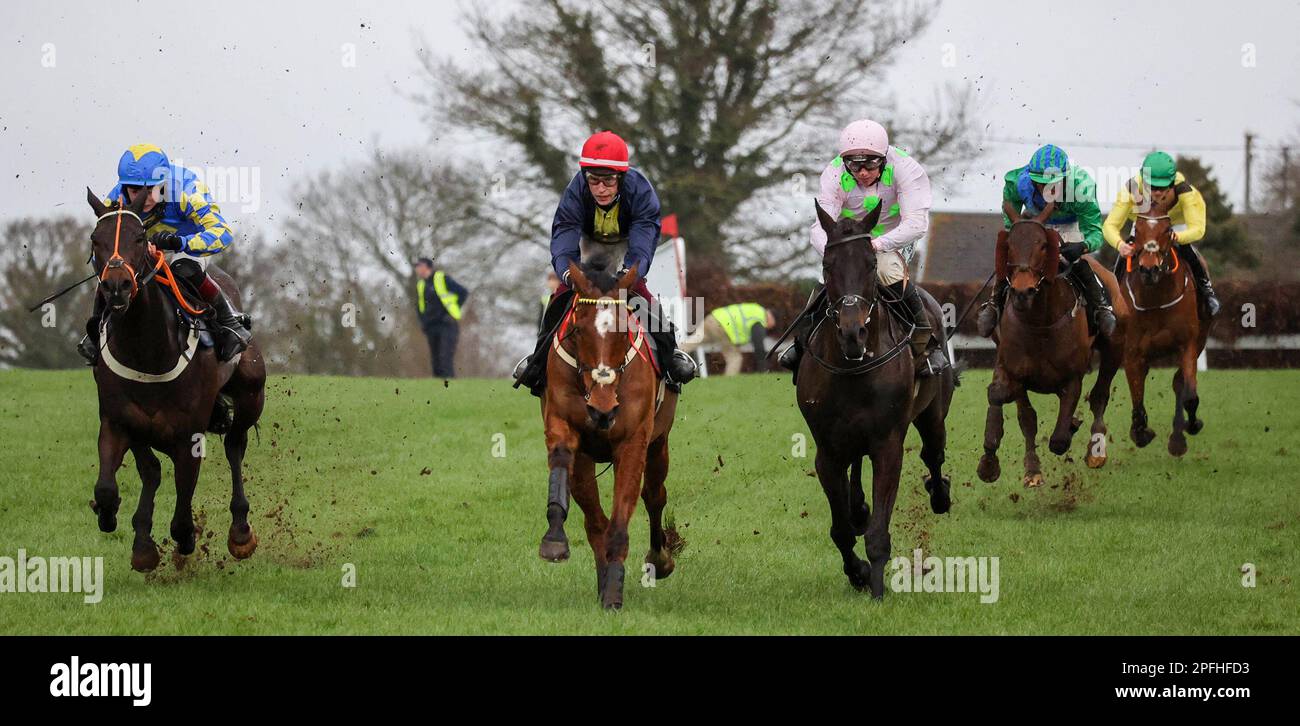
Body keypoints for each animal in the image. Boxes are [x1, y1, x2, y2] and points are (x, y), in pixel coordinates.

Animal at [83, 188, 266, 575]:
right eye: (95, 239)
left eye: (140, 238)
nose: (117, 286)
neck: (147, 351)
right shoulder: (120, 421)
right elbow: (116, 483)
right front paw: (123, 528)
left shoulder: (189, 436)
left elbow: (182, 509)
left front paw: (184, 539)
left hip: (251, 394)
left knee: (235, 446)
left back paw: (241, 533)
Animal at [538, 258, 681, 611]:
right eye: (578, 330)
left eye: (623, 330)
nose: (602, 410)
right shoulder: (567, 430)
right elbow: (562, 465)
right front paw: (554, 541)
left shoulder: (632, 443)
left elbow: (620, 520)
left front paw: (615, 594)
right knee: (595, 523)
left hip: (658, 444)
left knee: (654, 496)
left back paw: (659, 560)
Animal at [790, 201, 956, 601]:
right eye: (827, 265)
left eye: (869, 263)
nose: (854, 333)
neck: (853, 366)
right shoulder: (827, 451)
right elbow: (840, 530)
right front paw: (859, 572)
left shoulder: (887, 444)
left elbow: (879, 531)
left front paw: (877, 588)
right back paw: (859, 509)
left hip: (933, 413)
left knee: (934, 454)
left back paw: (939, 494)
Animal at [977, 218, 1128, 486]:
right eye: (1009, 246)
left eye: (1043, 246)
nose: (1022, 292)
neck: (1040, 323)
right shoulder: (1013, 370)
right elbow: (1023, 416)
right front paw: (1026, 469)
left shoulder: (1073, 378)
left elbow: (1058, 441)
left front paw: (1071, 429)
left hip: (1114, 348)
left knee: (1100, 395)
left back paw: (1096, 451)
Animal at [1118, 196, 1206, 457]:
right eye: (1137, 230)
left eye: (1167, 230)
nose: (1149, 269)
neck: (1155, 297)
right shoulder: (1132, 353)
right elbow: (1137, 401)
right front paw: (1140, 433)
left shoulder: (1188, 344)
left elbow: (1189, 395)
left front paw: (1192, 425)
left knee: (1179, 384)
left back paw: (1178, 439)